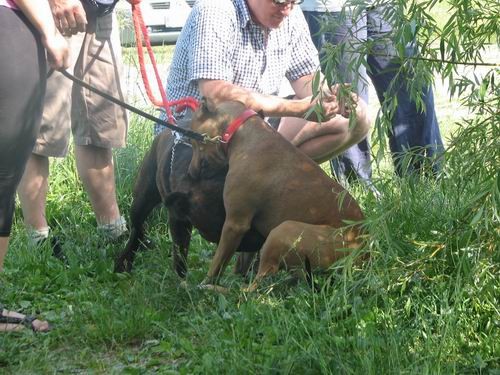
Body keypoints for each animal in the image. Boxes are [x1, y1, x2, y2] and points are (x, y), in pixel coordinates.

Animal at [189, 98, 366, 286]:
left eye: (193, 142)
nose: (190, 173)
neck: (242, 131)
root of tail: (364, 251)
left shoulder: (234, 224)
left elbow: (217, 264)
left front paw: (206, 283)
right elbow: (243, 260)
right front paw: (237, 276)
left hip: (282, 230)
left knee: (258, 283)